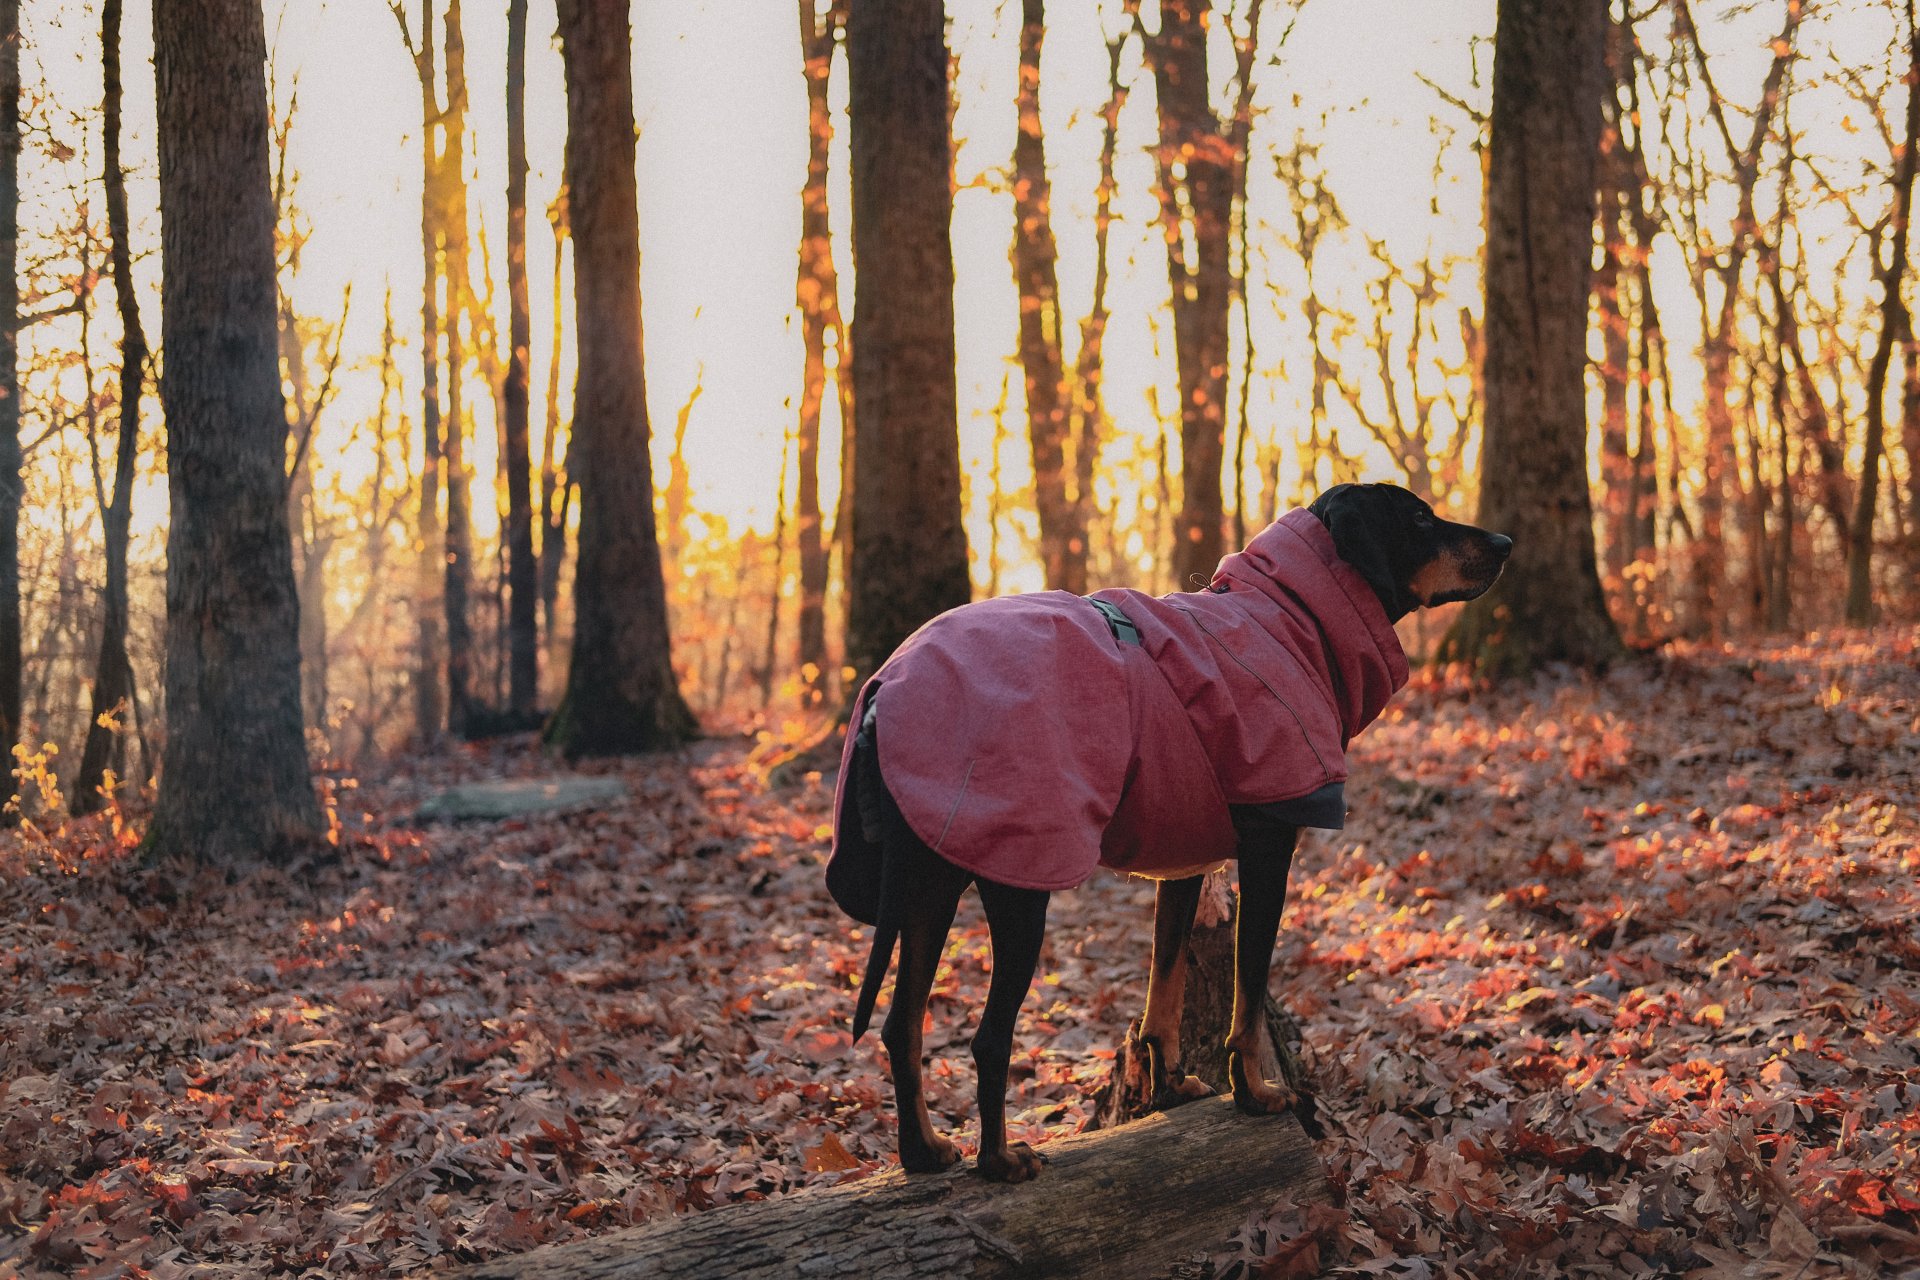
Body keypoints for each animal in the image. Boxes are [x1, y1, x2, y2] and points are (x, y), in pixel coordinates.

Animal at [825, 485, 1512, 1189]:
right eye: (1421, 518)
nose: (1506, 543)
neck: (1290, 620)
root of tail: (885, 692)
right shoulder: (1269, 852)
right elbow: (1249, 998)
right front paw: (1255, 1093)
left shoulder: (1184, 864)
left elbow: (1164, 994)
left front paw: (1172, 1085)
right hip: (1019, 880)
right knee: (988, 1038)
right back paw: (999, 1160)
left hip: (929, 880)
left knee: (900, 1024)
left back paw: (921, 1150)